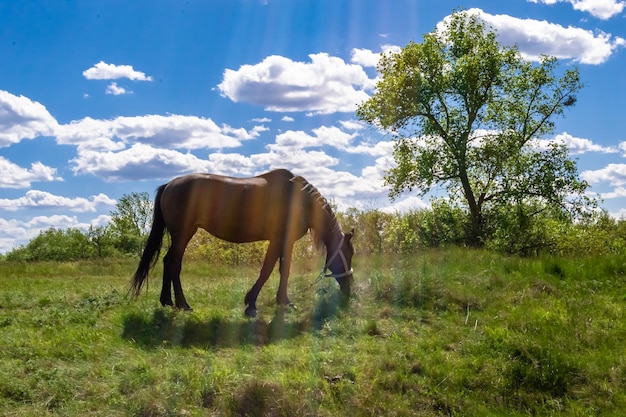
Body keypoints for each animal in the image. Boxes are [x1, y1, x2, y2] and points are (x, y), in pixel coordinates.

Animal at [129, 168, 354, 316]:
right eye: (350, 253)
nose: (349, 289)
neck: (299, 199)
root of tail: (169, 185)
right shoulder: (278, 239)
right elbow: (267, 270)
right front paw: (251, 303)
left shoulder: (285, 242)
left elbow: (284, 270)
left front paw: (284, 302)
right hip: (184, 234)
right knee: (174, 264)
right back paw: (183, 304)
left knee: (168, 262)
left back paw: (167, 301)